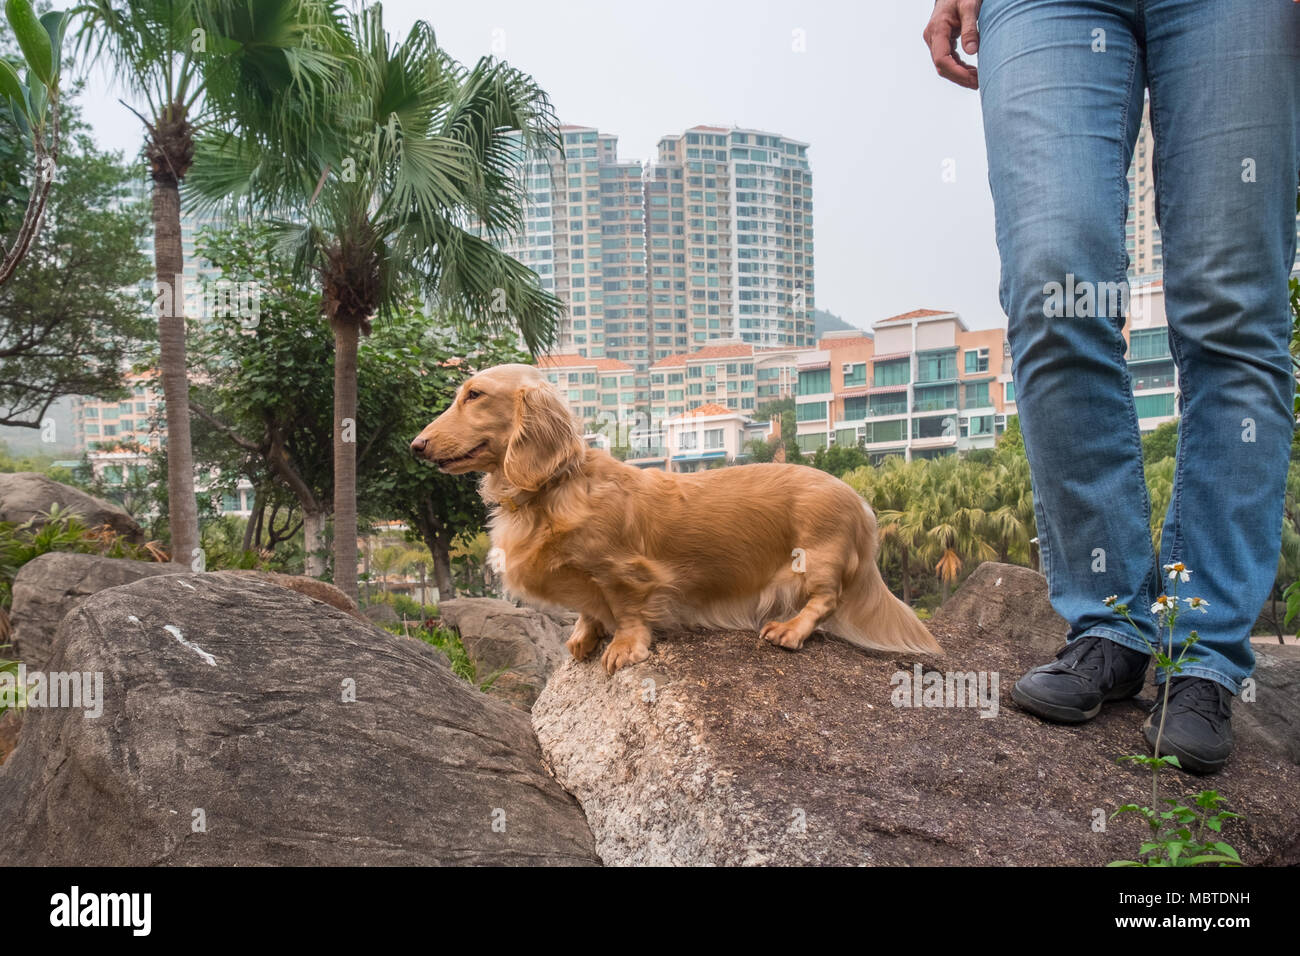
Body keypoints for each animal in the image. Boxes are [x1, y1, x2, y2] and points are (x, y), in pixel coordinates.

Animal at [413, 364, 946, 671]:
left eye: (475, 395)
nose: (416, 445)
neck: (553, 490)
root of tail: (860, 502)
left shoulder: (625, 573)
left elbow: (627, 609)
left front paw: (623, 647)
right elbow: (589, 609)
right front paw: (584, 636)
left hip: (815, 557)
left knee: (826, 600)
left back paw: (789, 630)